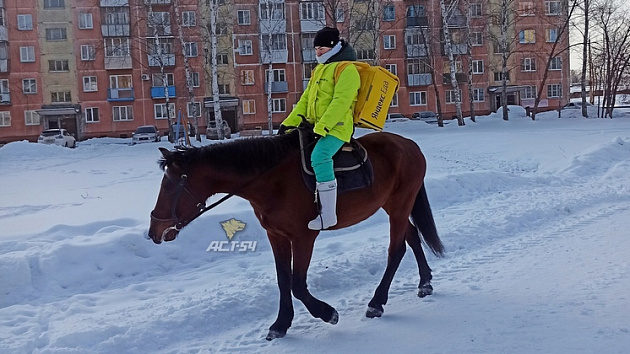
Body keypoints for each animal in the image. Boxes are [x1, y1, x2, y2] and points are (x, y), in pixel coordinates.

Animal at [148, 128, 444, 340]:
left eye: (168, 186)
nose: (154, 231)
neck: (271, 180)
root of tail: (409, 145)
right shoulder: (276, 236)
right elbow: (283, 280)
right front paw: (280, 324)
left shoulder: (303, 238)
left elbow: (297, 284)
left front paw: (327, 313)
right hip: (394, 205)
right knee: (412, 237)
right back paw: (424, 282)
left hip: (400, 204)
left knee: (397, 250)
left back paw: (377, 302)